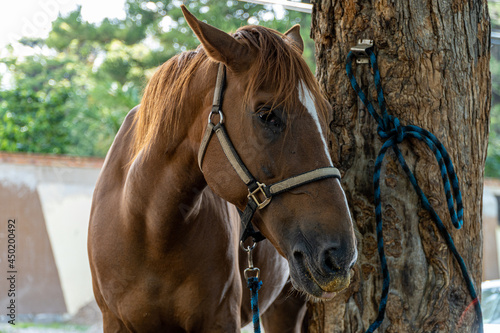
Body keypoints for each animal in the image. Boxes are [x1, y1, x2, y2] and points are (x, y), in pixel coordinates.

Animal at [88, 5, 358, 332]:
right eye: (266, 114)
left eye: (327, 115)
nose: (340, 255)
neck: (150, 232)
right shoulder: (114, 321)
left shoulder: (220, 319)